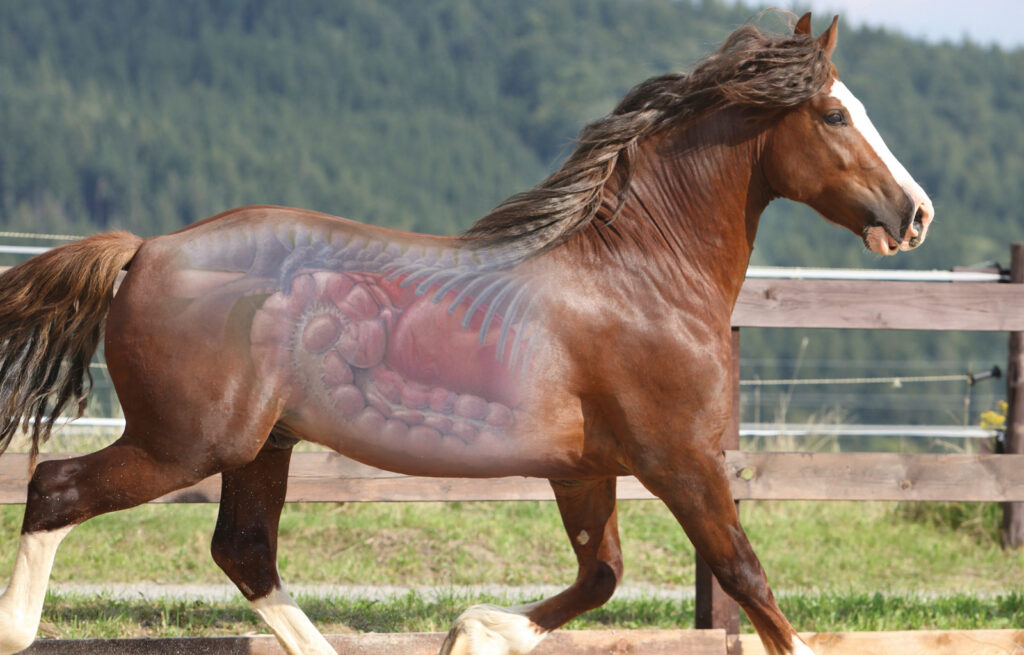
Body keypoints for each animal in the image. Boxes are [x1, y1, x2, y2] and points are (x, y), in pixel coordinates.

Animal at [0, 13, 932, 655]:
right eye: (836, 116)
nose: (915, 213)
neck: (640, 276)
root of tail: (147, 249)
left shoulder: (586, 469)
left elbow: (601, 573)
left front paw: (475, 631)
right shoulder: (682, 459)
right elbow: (748, 580)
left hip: (263, 446)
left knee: (245, 552)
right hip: (187, 441)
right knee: (55, 488)